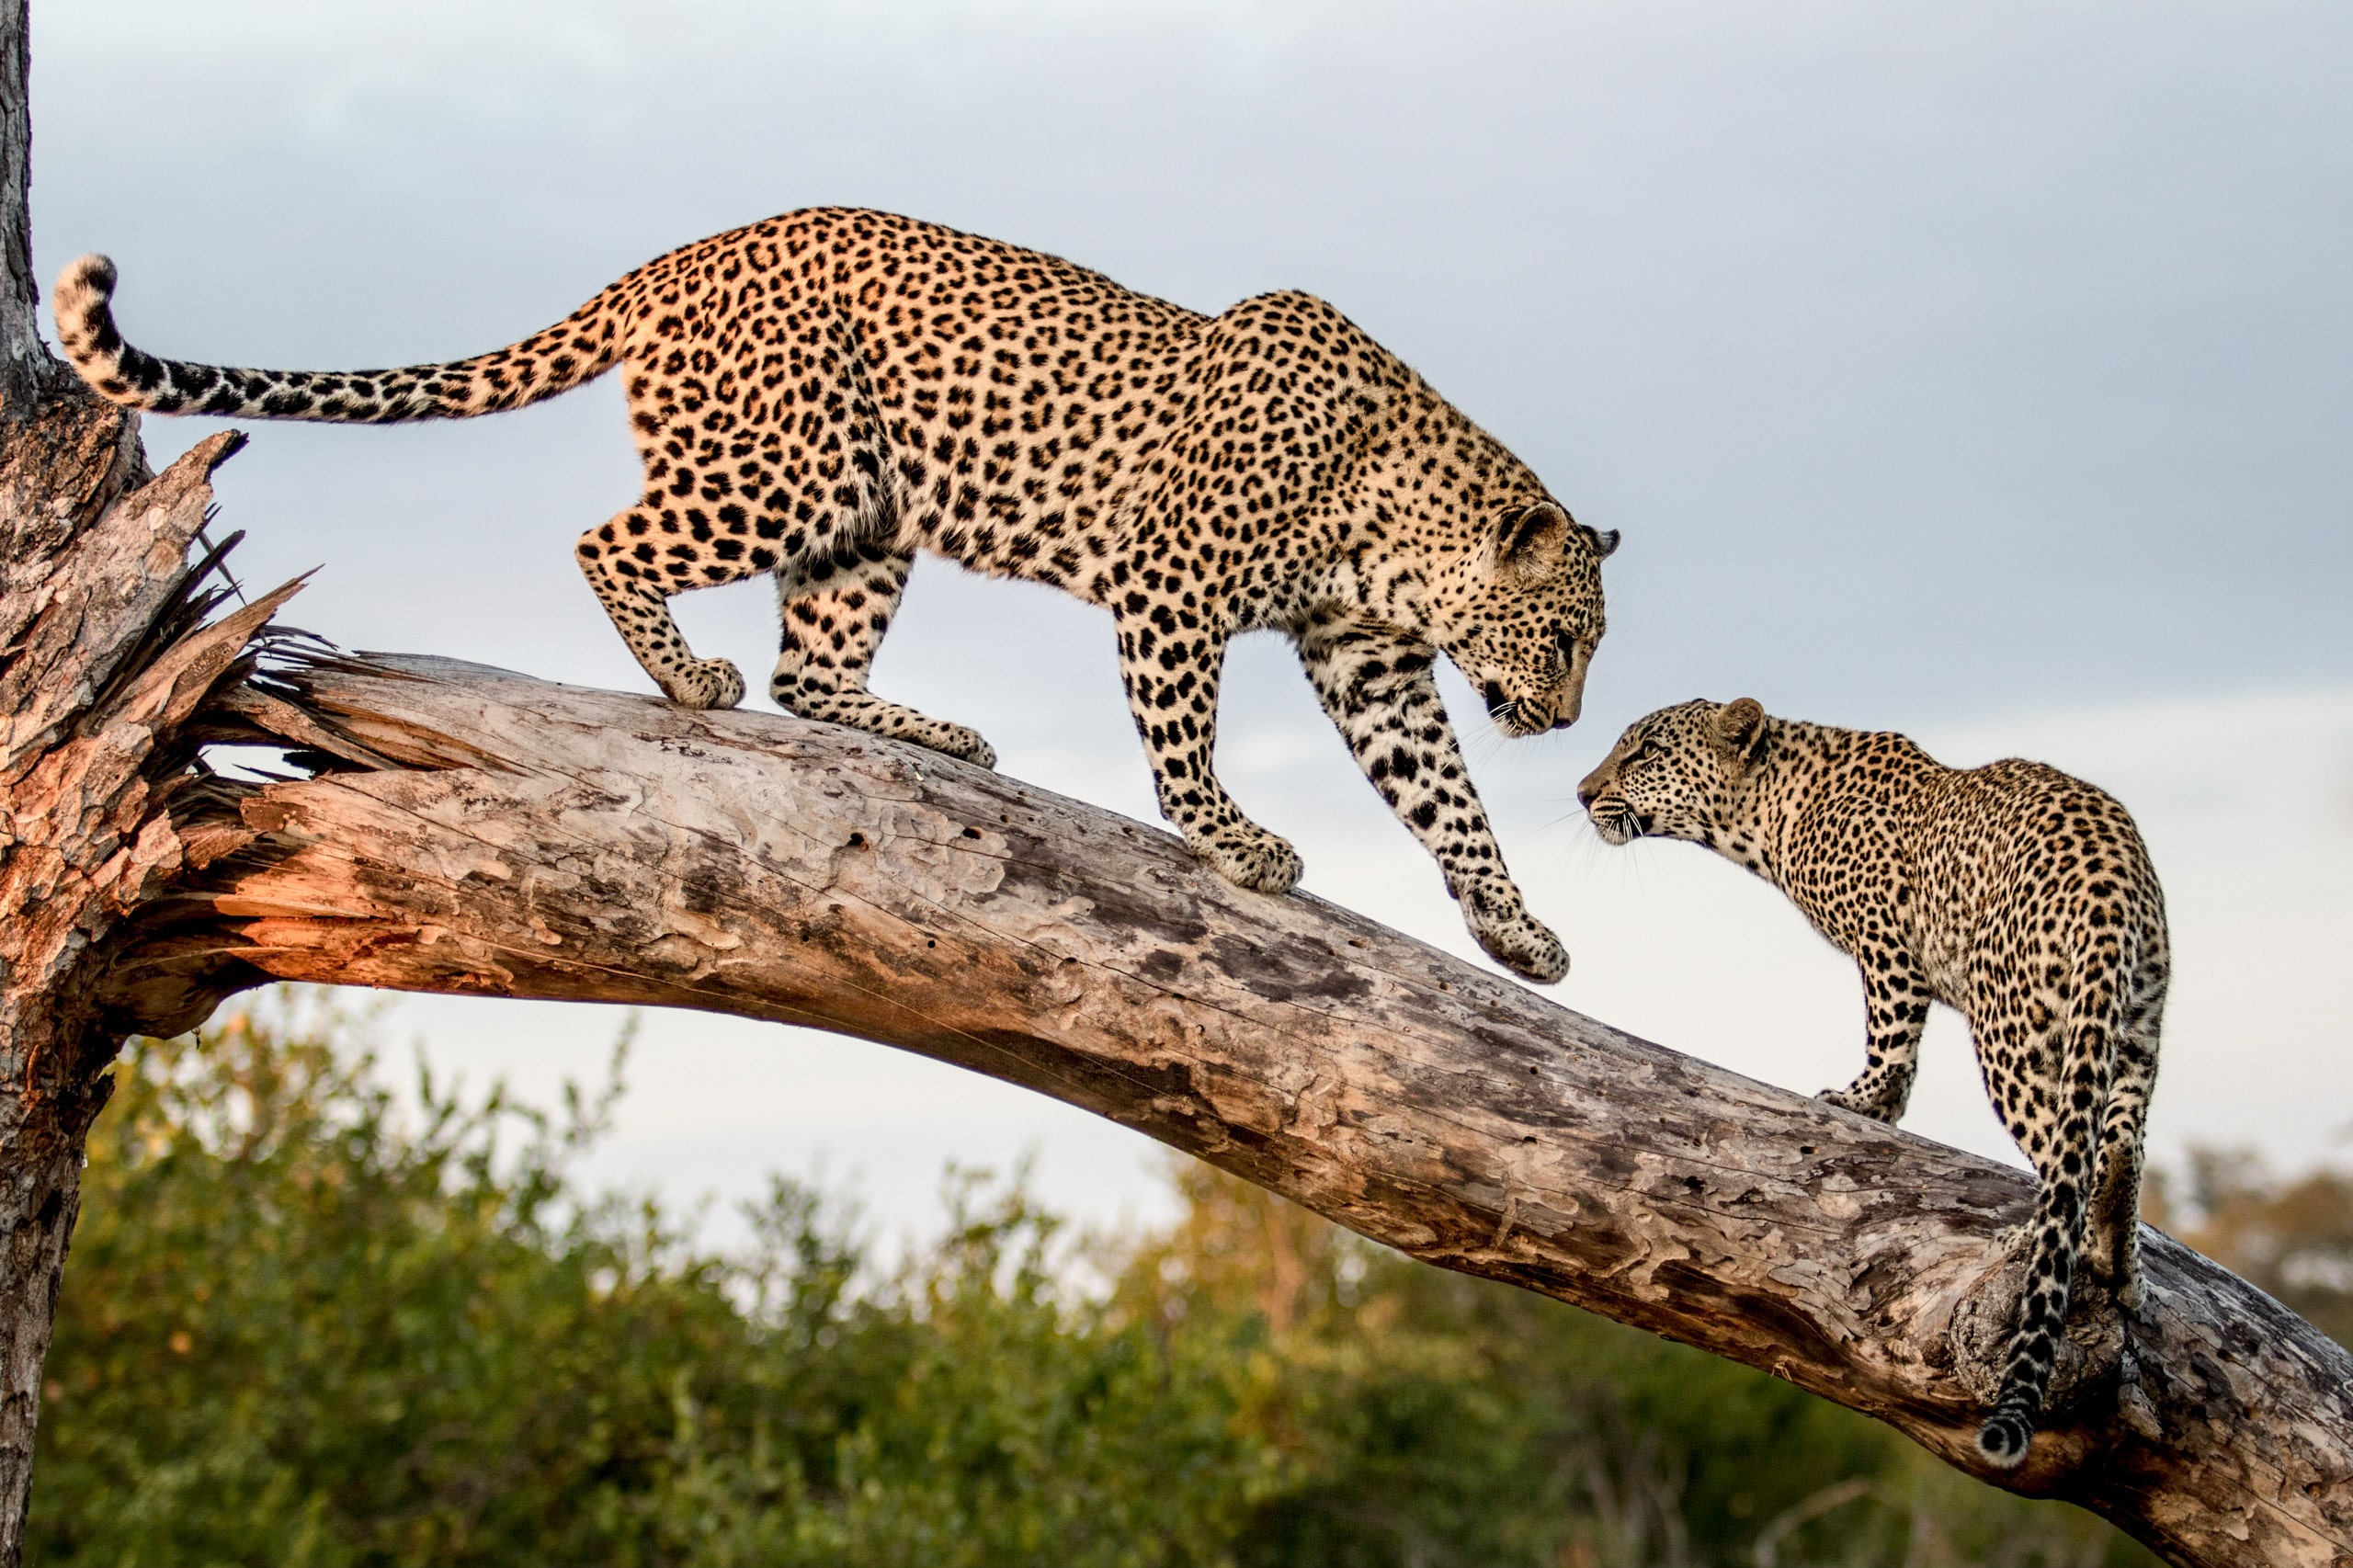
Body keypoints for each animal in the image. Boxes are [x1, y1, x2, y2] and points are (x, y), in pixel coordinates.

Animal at [51, 201, 1619, 970]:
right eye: (1564, 638)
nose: (1559, 720)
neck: (1394, 527)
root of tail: (683, 251)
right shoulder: (1173, 588)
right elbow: (1184, 742)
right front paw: (1236, 842)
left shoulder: (1370, 662)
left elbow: (1447, 800)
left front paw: (1518, 927)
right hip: (785, 468)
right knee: (609, 544)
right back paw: (689, 677)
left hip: (867, 514)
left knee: (815, 672)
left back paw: (929, 728)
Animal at [1581, 701, 2165, 1460]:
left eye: (1644, 753)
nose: (1583, 794)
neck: (1769, 808)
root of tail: (2111, 871)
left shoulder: (1886, 945)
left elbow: (1891, 1043)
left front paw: (1860, 1100)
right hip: (2134, 1027)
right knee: (2122, 1146)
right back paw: (2124, 1271)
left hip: (2009, 1021)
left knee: (2071, 1155)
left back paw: (2043, 1243)